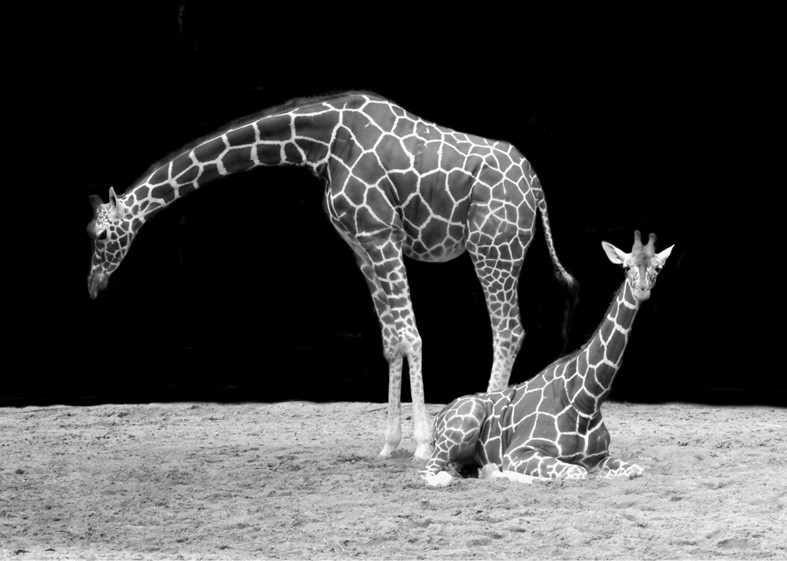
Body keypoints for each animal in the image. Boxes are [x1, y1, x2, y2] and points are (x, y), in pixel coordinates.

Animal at [86, 91, 575, 460]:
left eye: (102, 234)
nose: (93, 285)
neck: (322, 144)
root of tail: (536, 187)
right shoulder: (362, 247)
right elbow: (391, 340)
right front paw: (389, 445)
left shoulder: (382, 235)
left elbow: (412, 335)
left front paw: (420, 446)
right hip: (496, 250)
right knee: (507, 330)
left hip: (493, 248)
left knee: (509, 330)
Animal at [422, 231, 673, 486]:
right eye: (625, 266)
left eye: (658, 267)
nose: (642, 289)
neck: (586, 400)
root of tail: (439, 418)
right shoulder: (518, 452)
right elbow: (576, 471)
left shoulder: (599, 457)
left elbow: (635, 469)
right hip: (463, 425)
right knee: (431, 474)